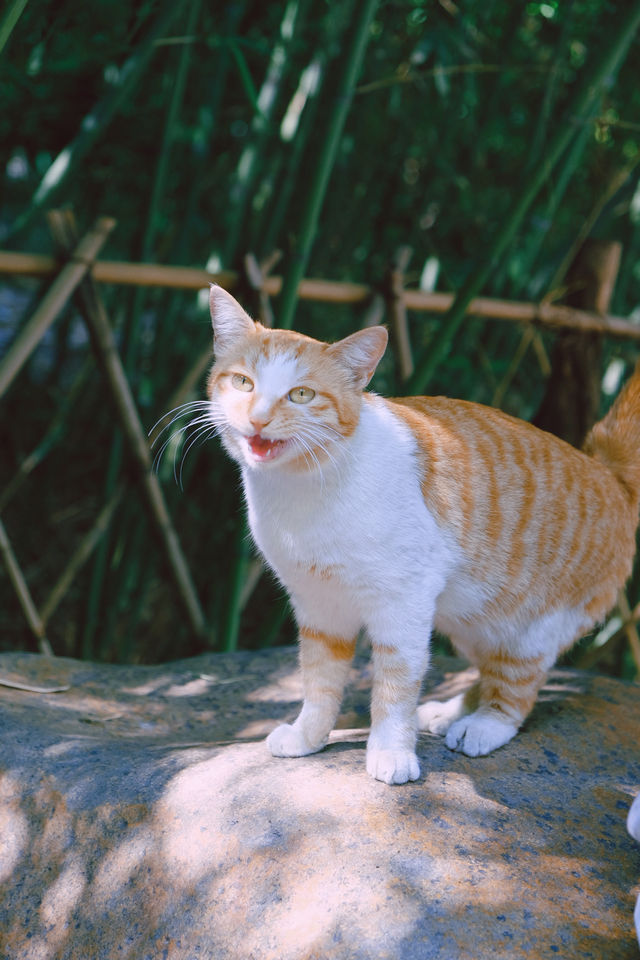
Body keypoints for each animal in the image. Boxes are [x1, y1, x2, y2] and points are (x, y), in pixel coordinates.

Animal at [205, 282, 640, 784]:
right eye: (243, 383)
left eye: (301, 394)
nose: (257, 418)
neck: (302, 491)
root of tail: (608, 472)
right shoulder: (318, 605)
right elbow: (319, 682)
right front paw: (307, 737)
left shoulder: (404, 604)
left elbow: (395, 689)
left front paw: (391, 753)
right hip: (472, 619)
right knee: (487, 672)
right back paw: (450, 712)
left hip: (531, 630)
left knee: (515, 690)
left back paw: (481, 726)